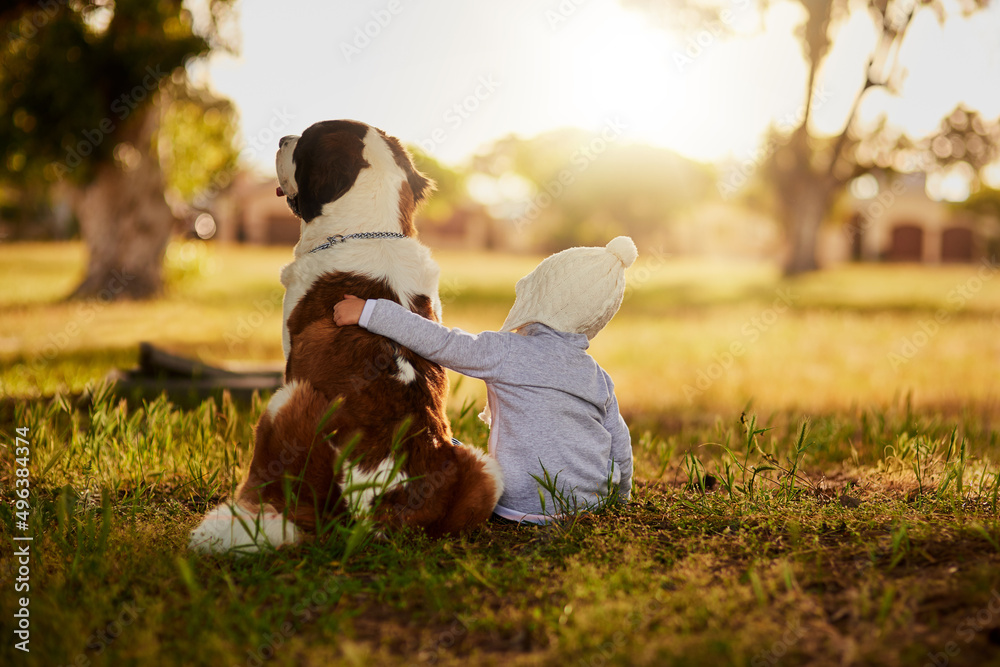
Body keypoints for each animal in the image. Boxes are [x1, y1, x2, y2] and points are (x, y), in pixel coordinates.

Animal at [189, 120, 500, 552]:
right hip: (485, 469)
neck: (370, 232)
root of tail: (386, 507)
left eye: (303, 142)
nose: (283, 138)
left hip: (287, 400)